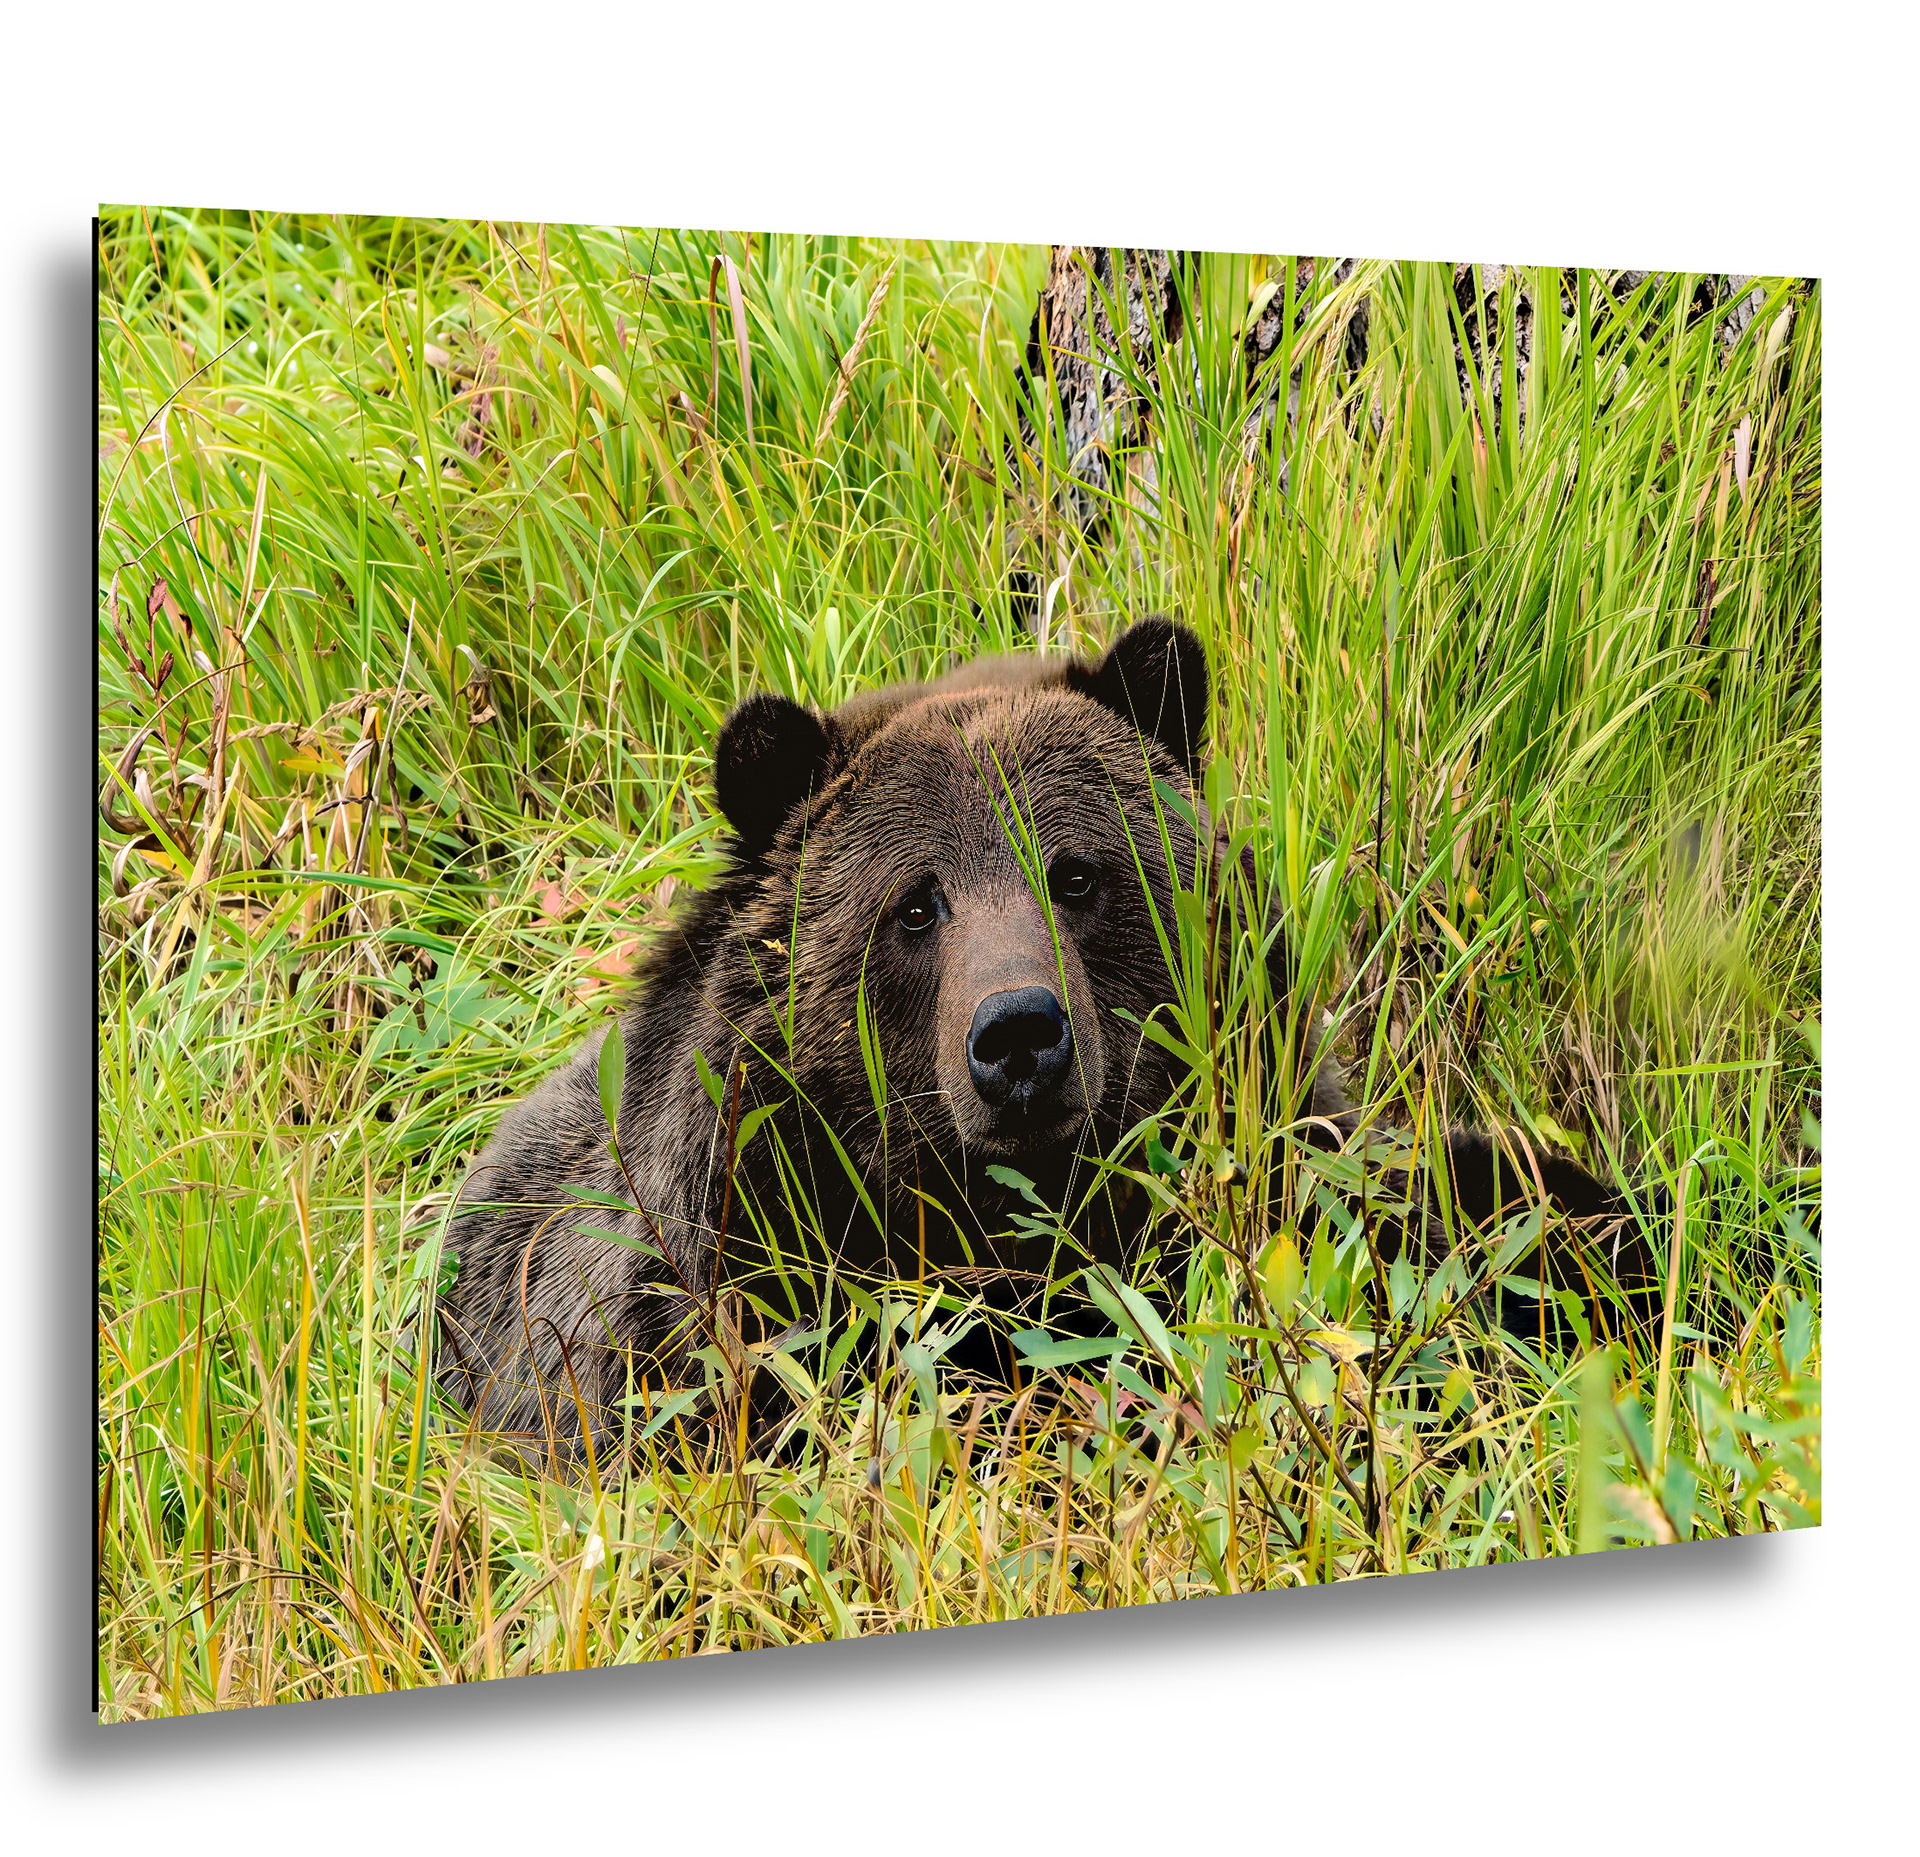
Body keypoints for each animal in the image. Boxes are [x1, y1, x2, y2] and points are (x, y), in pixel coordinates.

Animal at [435, 617, 1663, 1453]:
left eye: (1076, 872)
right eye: (914, 904)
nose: (1019, 1034)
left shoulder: (1297, 1182)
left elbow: (1463, 1220)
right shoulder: (724, 1298)